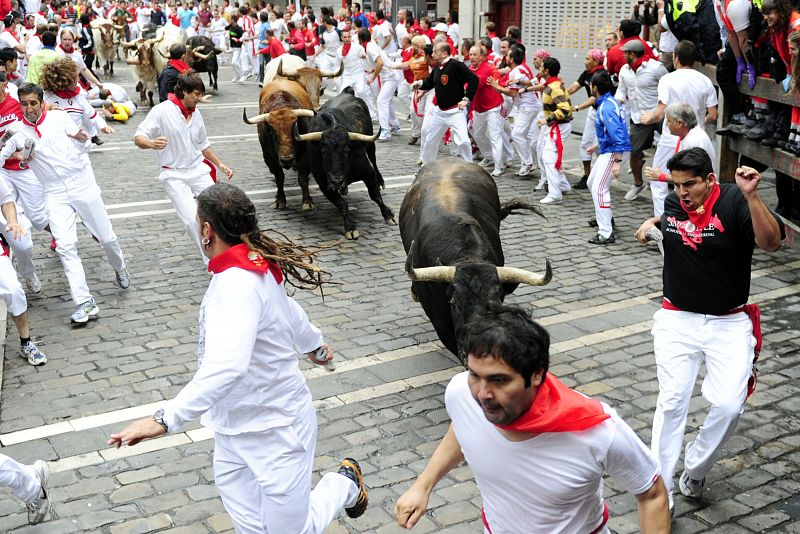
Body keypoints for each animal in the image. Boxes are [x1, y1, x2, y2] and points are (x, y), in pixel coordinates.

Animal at [244, 79, 316, 211]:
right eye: (272, 129)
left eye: (295, 125)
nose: (287, 160)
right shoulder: (269, 158)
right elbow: (279, 178)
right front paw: (280, 200)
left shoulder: (305, 156)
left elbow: (302, 178)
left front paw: (307, 201)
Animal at [292, 90, 396, 241]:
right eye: (323, 150)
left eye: (347, 150)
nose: (337, 181)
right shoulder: (324, 184)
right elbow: (342, 205)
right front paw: (350, 227)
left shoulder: (368, 172)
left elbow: (375, 195)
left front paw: (389, 215)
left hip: (371, 144)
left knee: (374, 159)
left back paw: (380, 181)